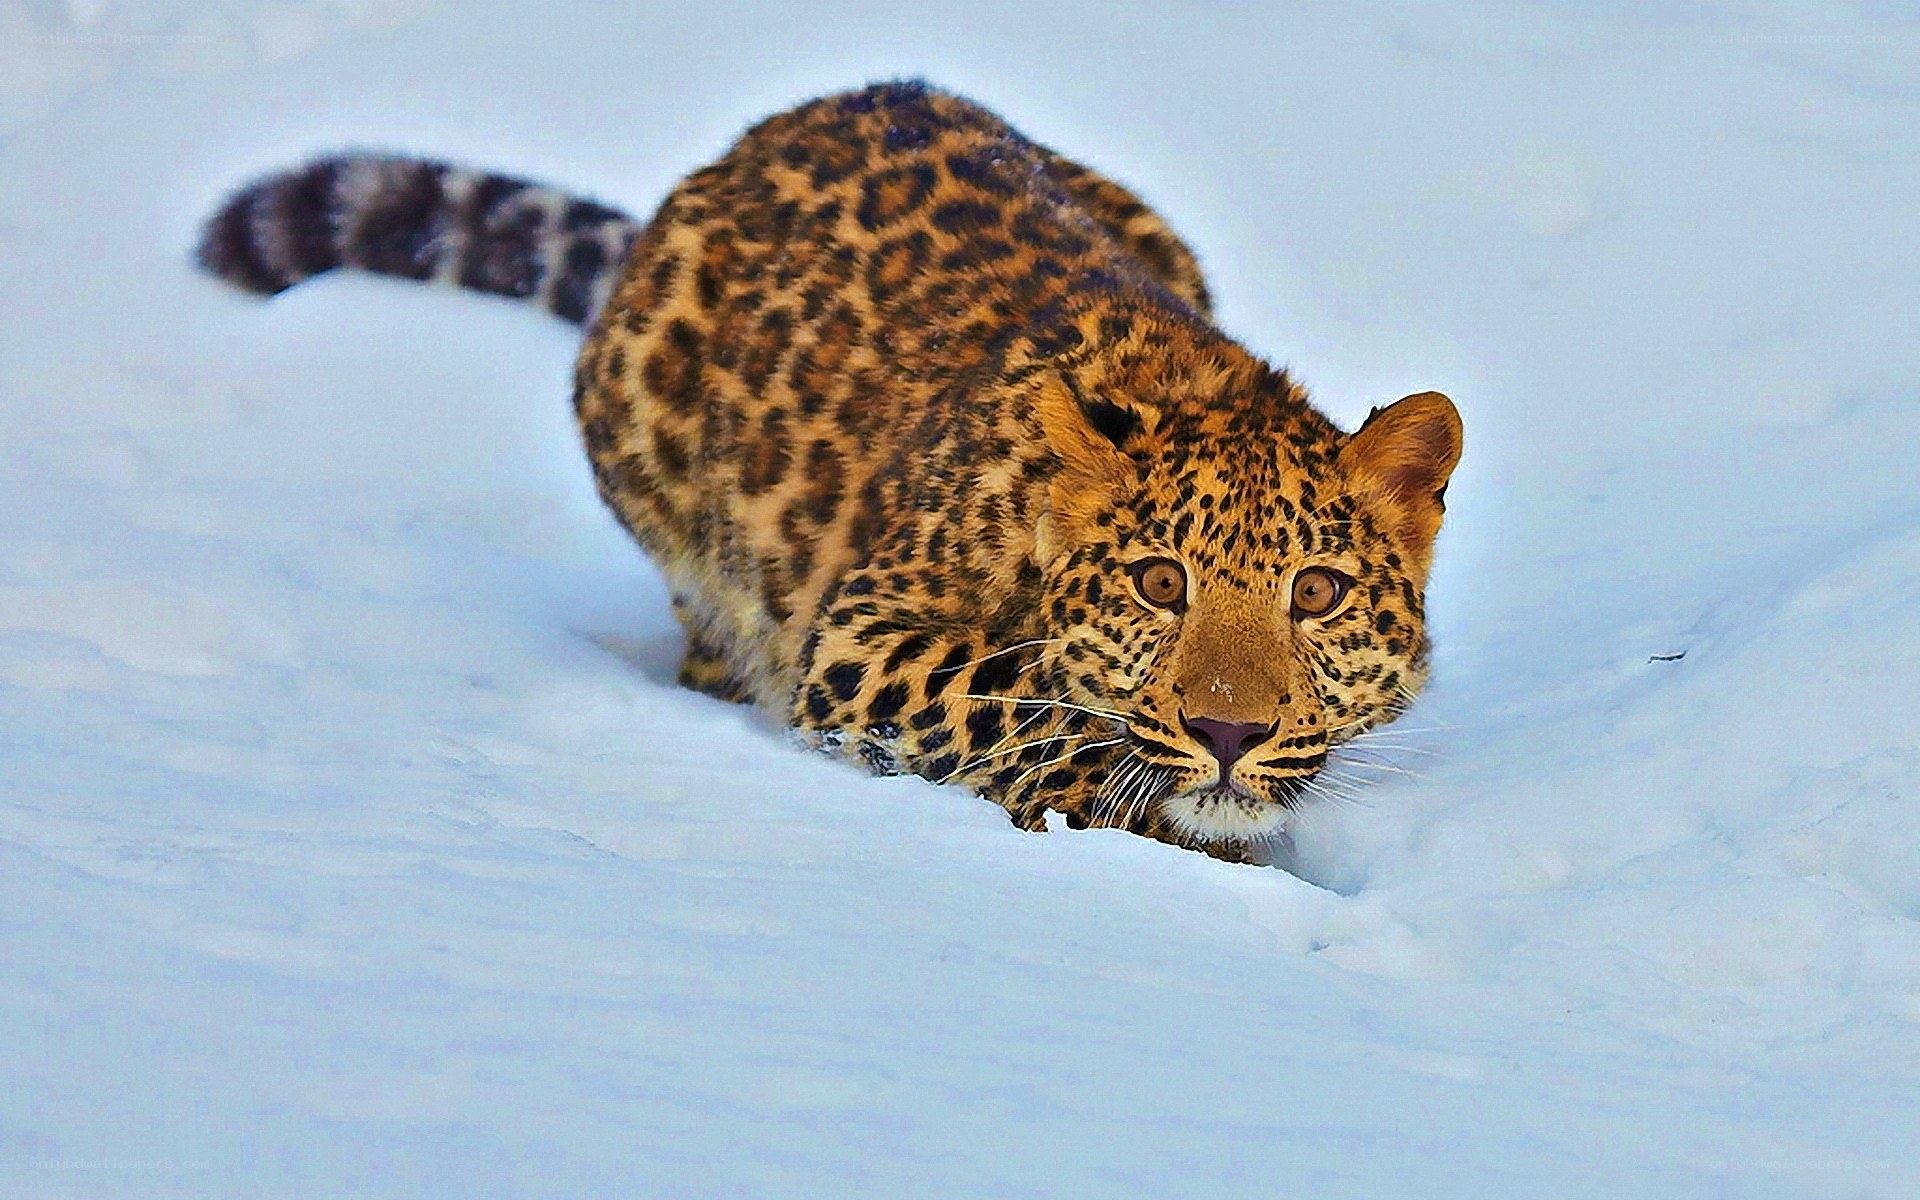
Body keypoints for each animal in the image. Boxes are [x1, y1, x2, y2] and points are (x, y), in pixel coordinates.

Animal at [197, 80, 1462, 863]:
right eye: (1159, 584)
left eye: (1316, 593)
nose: (1228, 733)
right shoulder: (860, 638)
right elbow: (1010, 694)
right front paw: (1122, 798)